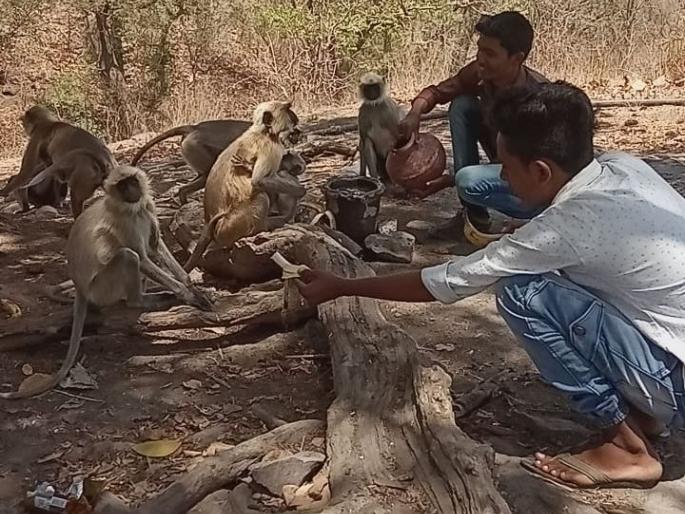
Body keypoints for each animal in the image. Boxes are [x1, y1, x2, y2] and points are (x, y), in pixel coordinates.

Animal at [0, 165, 212, 400]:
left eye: (132, 181)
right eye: (122, 186)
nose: (131, 190)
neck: (133, 209)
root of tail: (80, 287)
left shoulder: (146, 207)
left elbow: (155, 248)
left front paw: (189, 285)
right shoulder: (124, 220)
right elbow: (143, 257)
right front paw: (188, 294)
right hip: (101, 288)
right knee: (129, 256)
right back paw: (139, 301)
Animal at [183, 101, 304, 273]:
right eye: (292, 122)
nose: (296, 134)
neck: (261, 132)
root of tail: (208, 221)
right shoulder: (271, 147)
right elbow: (259, 181)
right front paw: (301, 191)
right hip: (233, 225)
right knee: (262, 196)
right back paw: (264, 227)